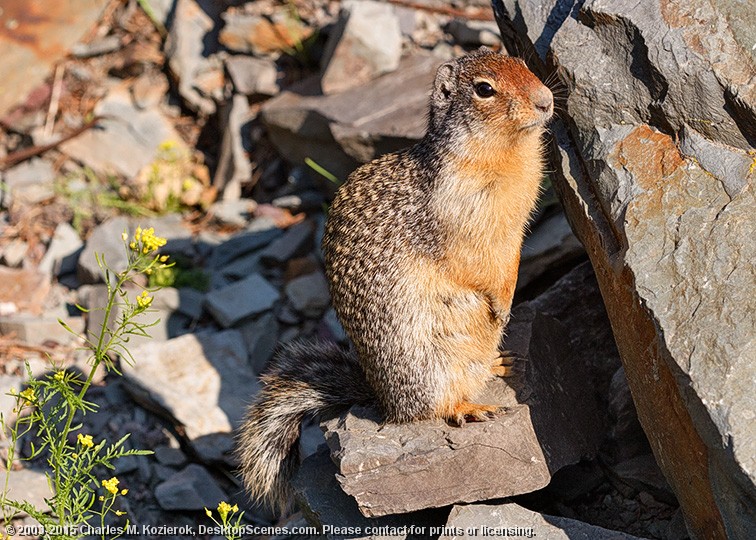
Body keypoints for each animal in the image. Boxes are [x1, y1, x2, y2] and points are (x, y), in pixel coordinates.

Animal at [239, 49, 552, 510]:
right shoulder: (457, 226)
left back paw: (497, 362)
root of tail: (381, 399)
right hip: (427, 369)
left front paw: (508, 300)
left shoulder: (513, 230)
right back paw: (468, 407)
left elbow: (509, 261)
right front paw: (500, 303)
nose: (546, 101)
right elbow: (475, 267)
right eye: (484, 89)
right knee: (430, 409)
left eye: (523, 63)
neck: (507, 154)